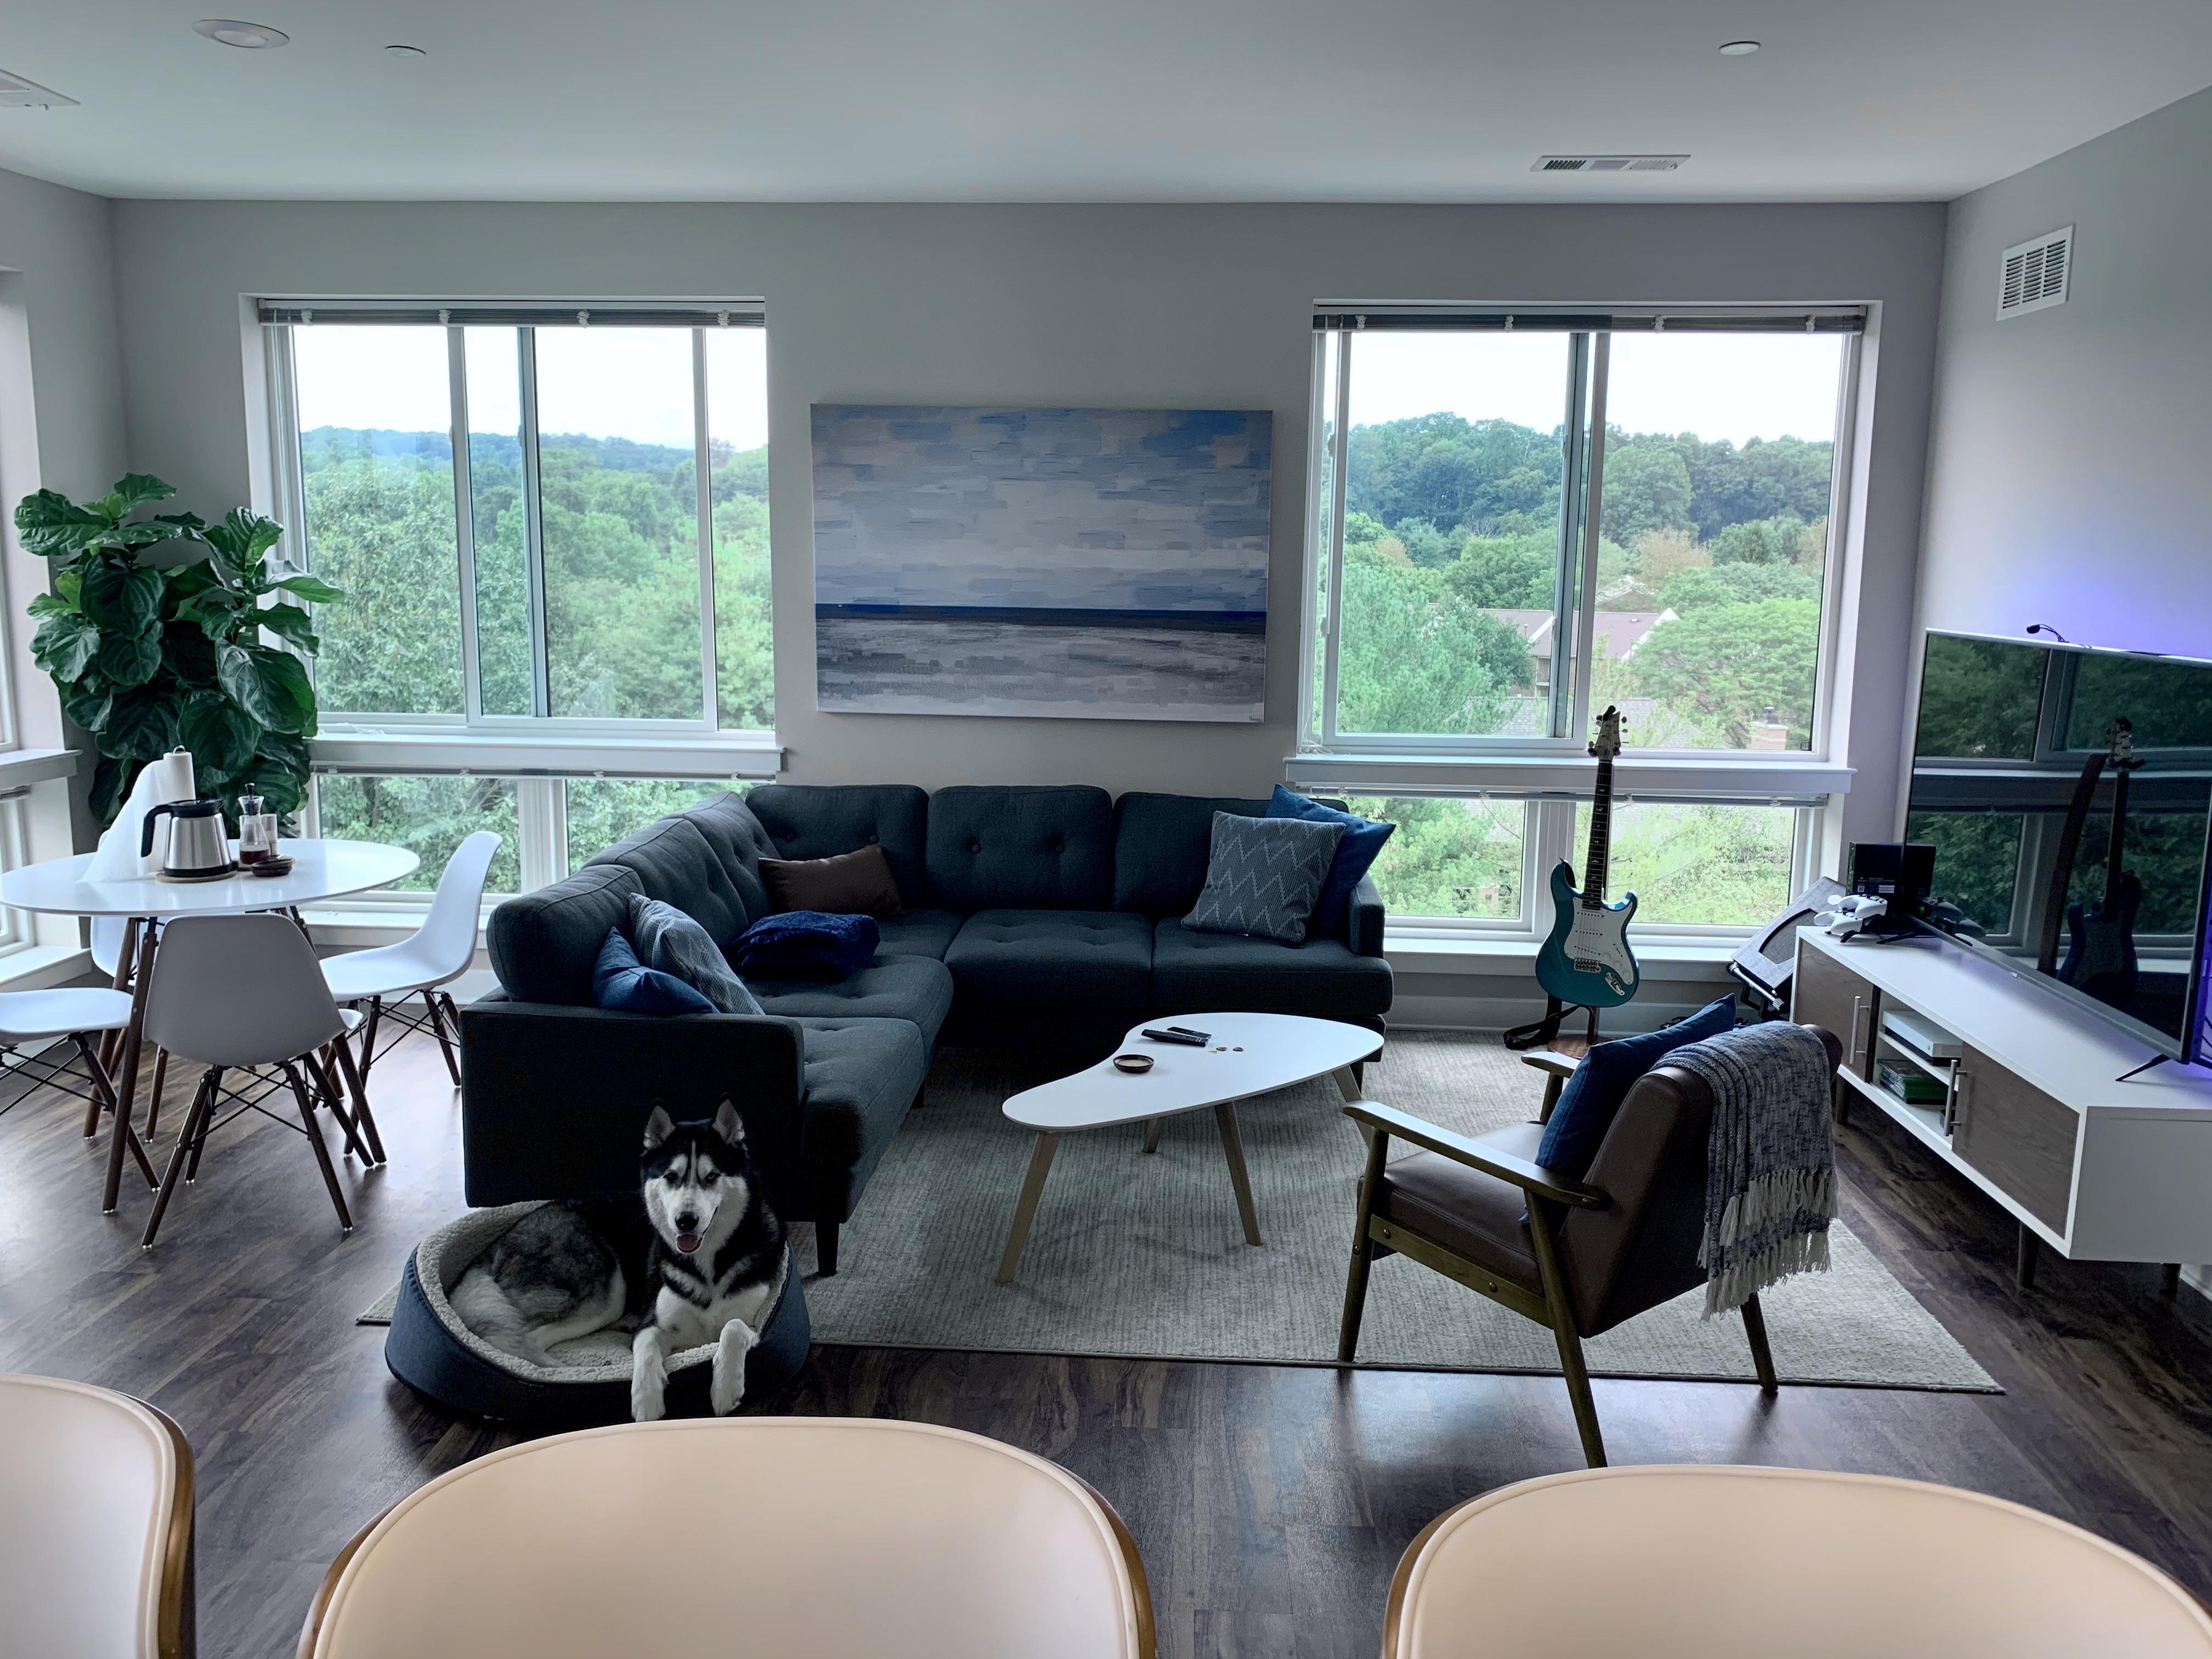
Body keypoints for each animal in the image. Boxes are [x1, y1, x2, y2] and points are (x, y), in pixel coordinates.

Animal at [449, 1100, 786, 1420]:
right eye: (671, 1177)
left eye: (712, 1176)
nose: (685, 1221)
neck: (706, 1263)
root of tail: (495, 1245)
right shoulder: (652, 1323)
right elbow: (646, 1349)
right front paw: (646, 1399)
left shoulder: (756, 1323)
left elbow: (733, 1325)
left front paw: (725, 1386)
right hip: (607, 1293)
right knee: (526, 1340)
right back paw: (570, 1374)